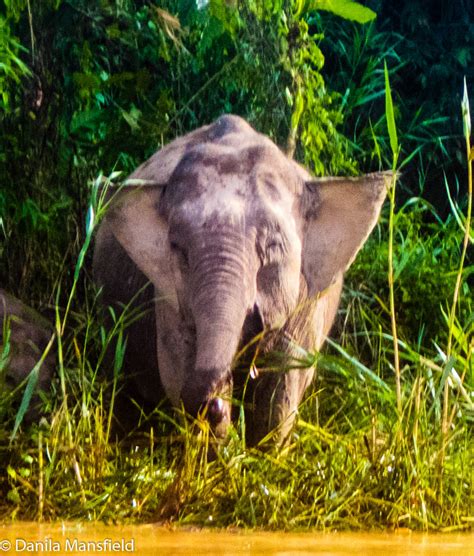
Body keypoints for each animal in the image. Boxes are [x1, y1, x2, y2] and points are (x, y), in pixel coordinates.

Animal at [92, 114, 388, 448]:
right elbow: (175, 368)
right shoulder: (166, 297)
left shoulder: (306, 303)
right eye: (178, 249)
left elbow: (282, 389)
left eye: (272, 245)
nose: (218, 402)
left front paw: (260, 450)